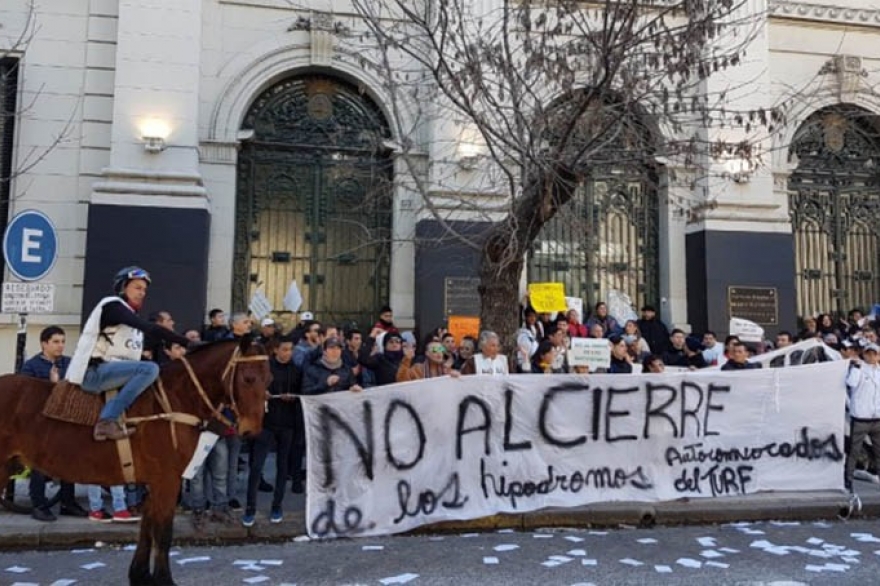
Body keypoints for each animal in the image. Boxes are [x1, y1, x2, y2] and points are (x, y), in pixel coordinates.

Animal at [0, 336, 272, 580]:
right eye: (248, 378)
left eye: (268, 379)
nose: (252, 430)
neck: (174, 401)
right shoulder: (167, 480)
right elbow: (162, 533)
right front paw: (163, 579)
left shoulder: (154, 482)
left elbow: (147, 528)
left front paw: (140, 574)